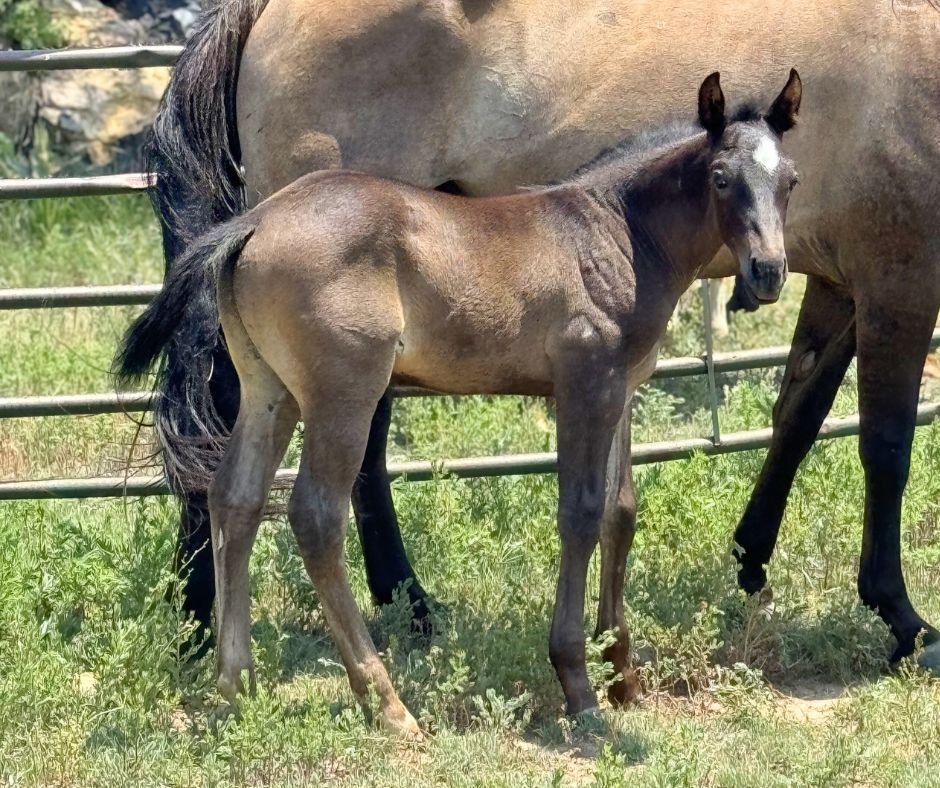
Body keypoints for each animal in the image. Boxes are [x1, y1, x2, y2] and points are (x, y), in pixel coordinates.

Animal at [118, 73, 803, 730]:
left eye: (790, 180)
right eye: (721, 179)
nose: (768, 272)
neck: (616, 230)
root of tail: (254, 220)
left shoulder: (622, 391)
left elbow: (620, 511)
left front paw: (624, 678)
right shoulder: (586, 385)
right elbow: (580, 514)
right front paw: (579, 685)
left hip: (270, 391)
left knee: (234, 498)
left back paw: (235, 686)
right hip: (344, 392)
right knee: (315, 516)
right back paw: (388, 706)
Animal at [150, 0, 940, 670]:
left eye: (793, 182)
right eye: (721, 179)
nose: (764, 274)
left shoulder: (841, 280)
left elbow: (800, 414)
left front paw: (751, 557)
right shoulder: (899, 281)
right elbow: (886, 446)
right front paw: (902, 618)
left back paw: (383, 610)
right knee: (254, 429)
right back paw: (206, 620)